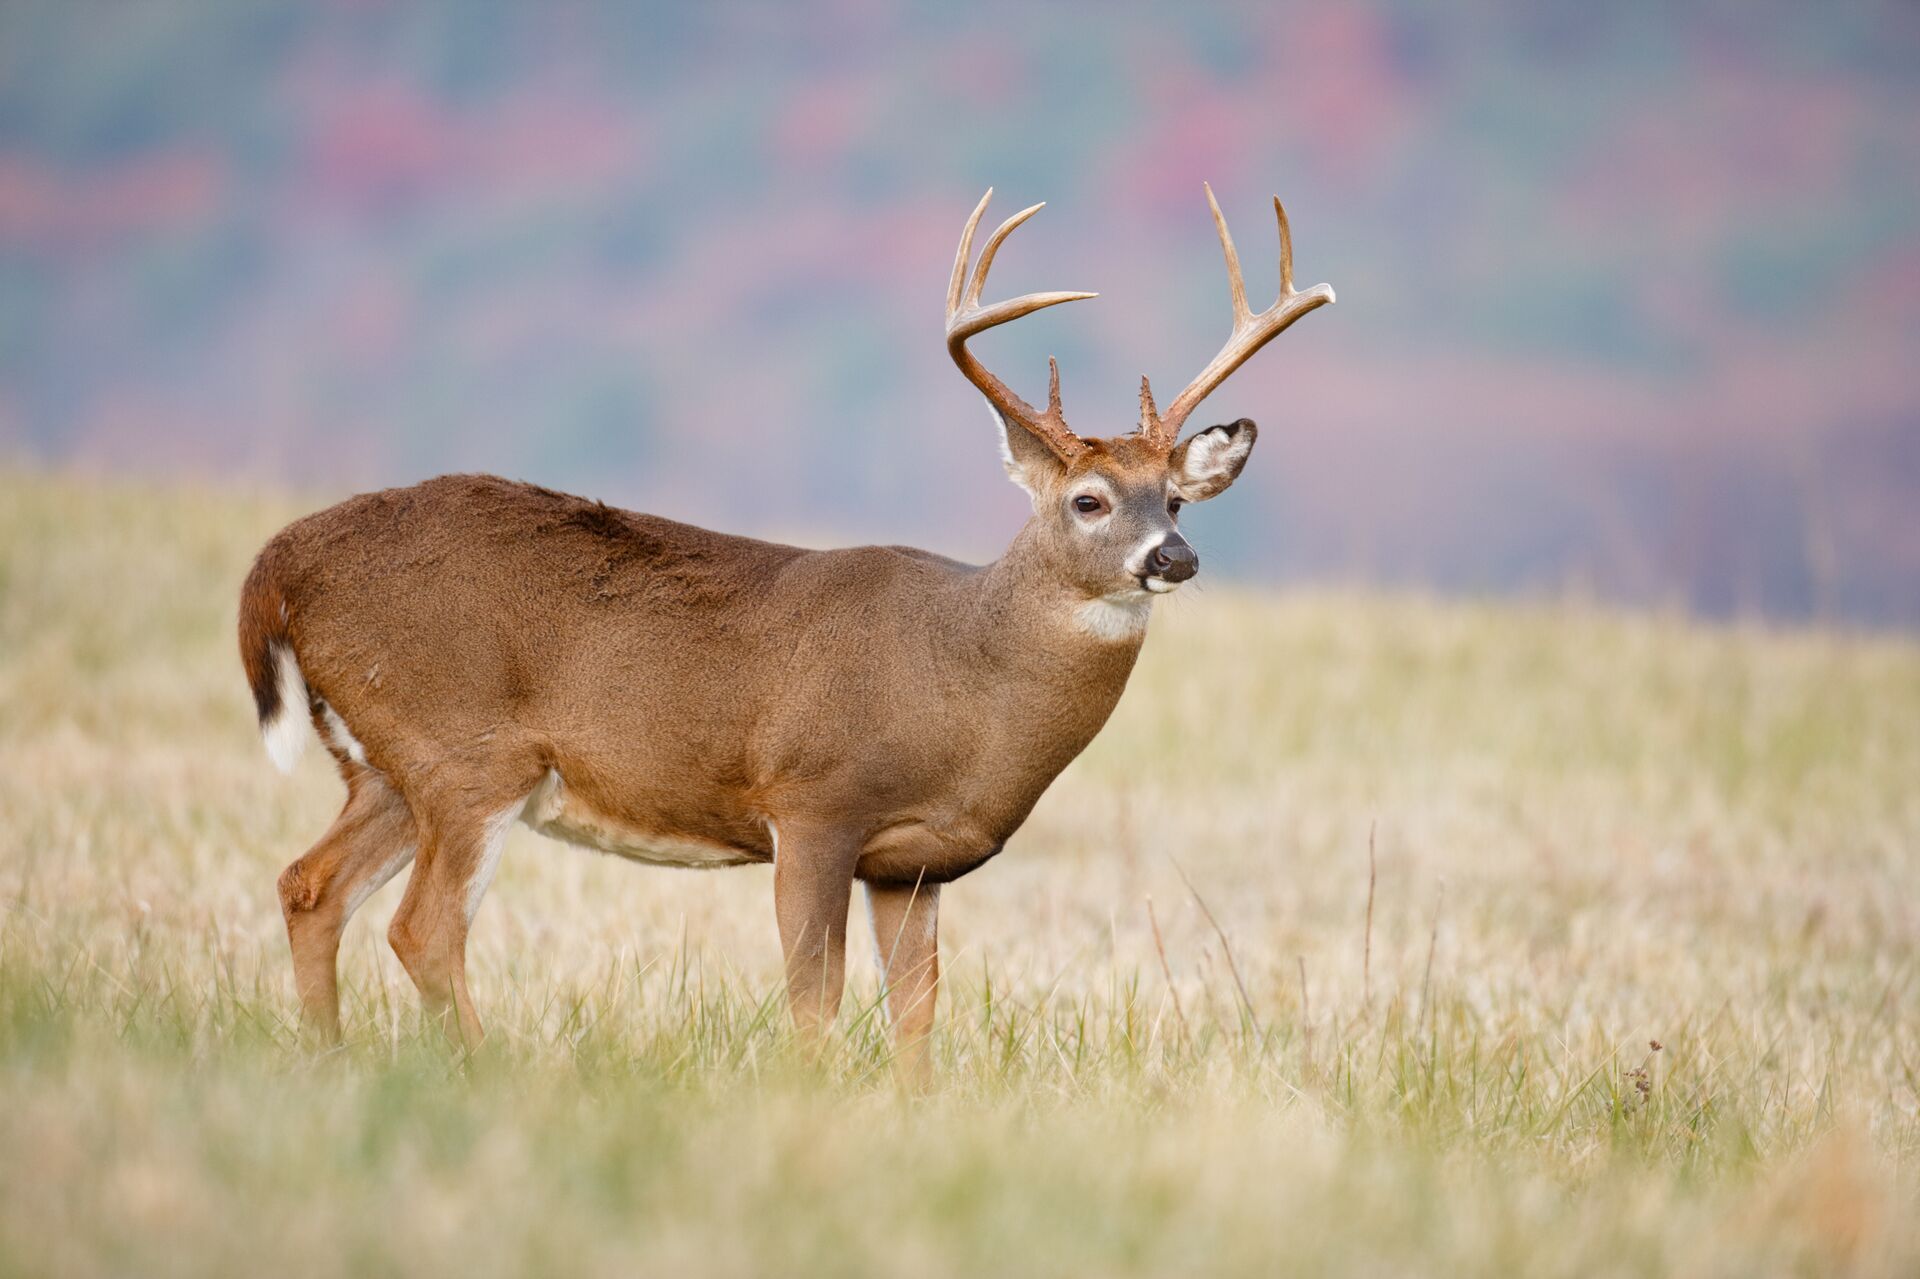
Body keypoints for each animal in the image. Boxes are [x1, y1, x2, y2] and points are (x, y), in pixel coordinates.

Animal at [240, 187, 1336, 1067]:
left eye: (1177, 500)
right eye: (1090, 500)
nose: (1172, 558)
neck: (962, 683)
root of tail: (280, 564)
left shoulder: (913, 860)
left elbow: (915, 1011)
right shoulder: (812, 800)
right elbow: (815, 998)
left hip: (389, 760)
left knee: (309, 884)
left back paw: (329, 1060)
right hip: (466, 747)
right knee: (422, 928)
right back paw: (482, 1069)